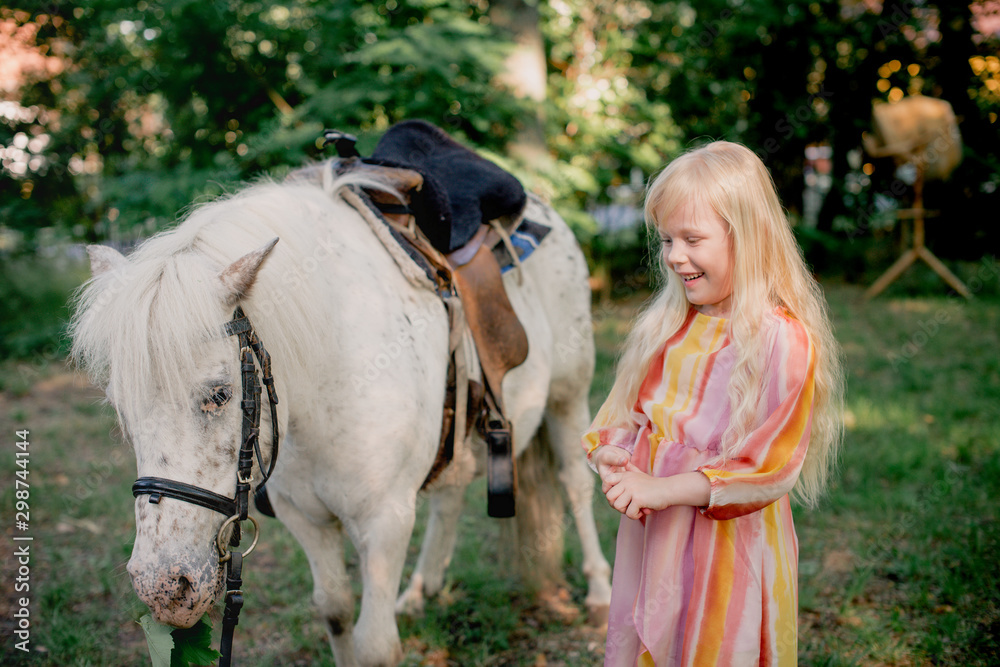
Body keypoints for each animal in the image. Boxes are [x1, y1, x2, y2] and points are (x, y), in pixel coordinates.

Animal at [70, 160, 612, 665]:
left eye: (220, 394)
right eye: (120, 409)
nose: (163, 587)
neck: (332, 373)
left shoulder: (386, 522)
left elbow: (375, 647)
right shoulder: (306, 519)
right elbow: (335, 613)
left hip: (568, 397)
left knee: (575, 484)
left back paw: (600, 592)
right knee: (450, 495)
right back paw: (421, 589)